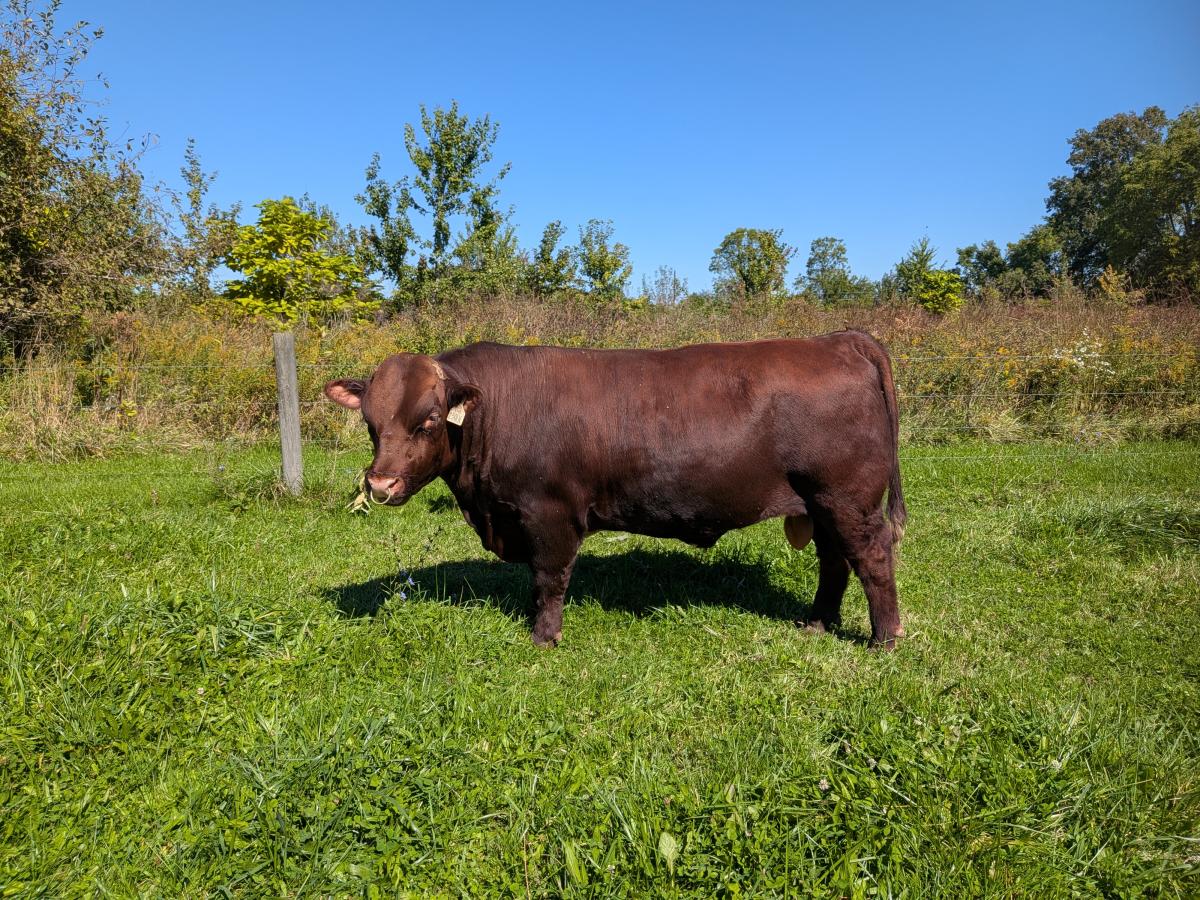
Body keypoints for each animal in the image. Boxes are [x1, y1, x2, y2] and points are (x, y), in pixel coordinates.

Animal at [324, 332, 908, 649]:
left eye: (427, 420)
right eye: (372, 423)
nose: (380, 482)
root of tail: (838, 339)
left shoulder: (550, 513)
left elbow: (549, 578)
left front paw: (544, 636)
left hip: (847, 499)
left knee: (872, 557)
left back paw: (883, 639)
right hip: (823, 504)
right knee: (835, 561)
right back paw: (816, 623)